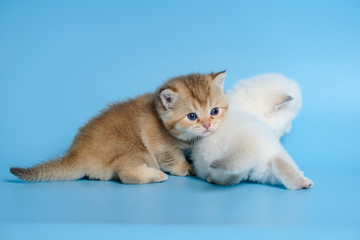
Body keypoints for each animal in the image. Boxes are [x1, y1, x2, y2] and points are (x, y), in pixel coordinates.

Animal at [10, 71, 228, 184]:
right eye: (192, 116)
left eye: (214, 111)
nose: (207, 125)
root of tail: (76, 153)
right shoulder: (160, 145)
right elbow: (173, 157)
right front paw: (185, 167)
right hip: (136, 151)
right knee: (125, 173)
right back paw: (155, 175)